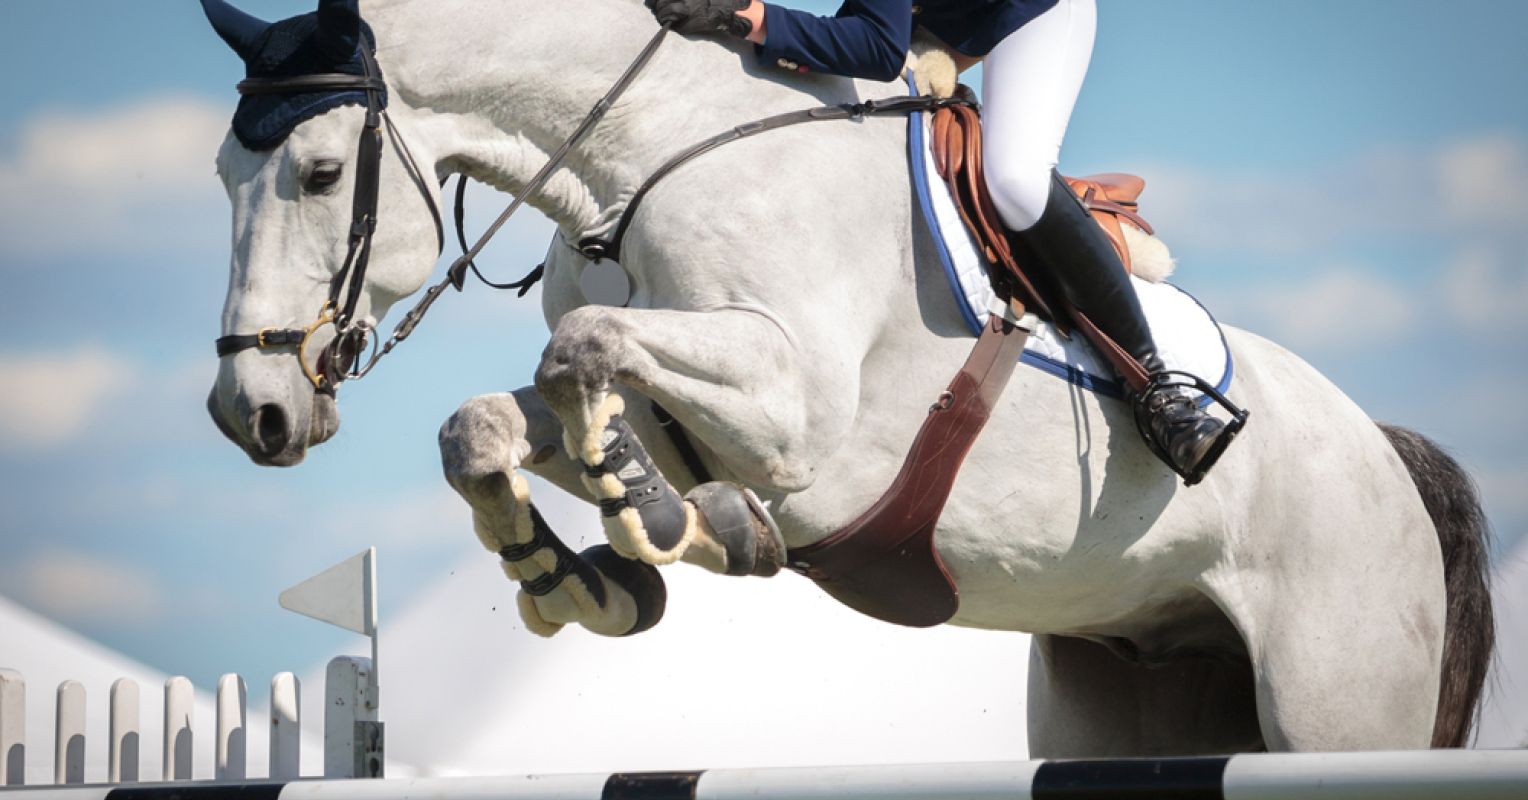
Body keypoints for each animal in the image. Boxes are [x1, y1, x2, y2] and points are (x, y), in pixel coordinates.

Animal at [203, 0, 1493, 755]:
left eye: (320, 174)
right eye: (221, 175)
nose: (248, 411)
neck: (642, 155)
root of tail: (1385, 452)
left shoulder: (797, 414)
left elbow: (583, 350)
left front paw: (672, 520)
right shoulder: (677, 391)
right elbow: (486, 422)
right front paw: (591, 574)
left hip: (1331, 702)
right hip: (1121, 690)